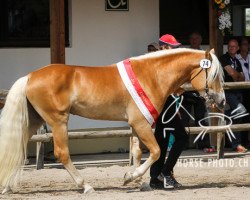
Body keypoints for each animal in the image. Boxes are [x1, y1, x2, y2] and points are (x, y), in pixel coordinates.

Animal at [0, 48, 225, 194]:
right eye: (214, 74)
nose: (222, 101)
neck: (151, 76)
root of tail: (30, 76)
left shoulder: (137, 124)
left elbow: (137, 152)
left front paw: (139, 181)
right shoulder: (141, 124)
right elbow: (156, 151)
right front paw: (130, 178)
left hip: (34, 121)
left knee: (18, 148)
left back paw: (7, 186)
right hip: (57, 121)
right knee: (62, 154)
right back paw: (85, 186)